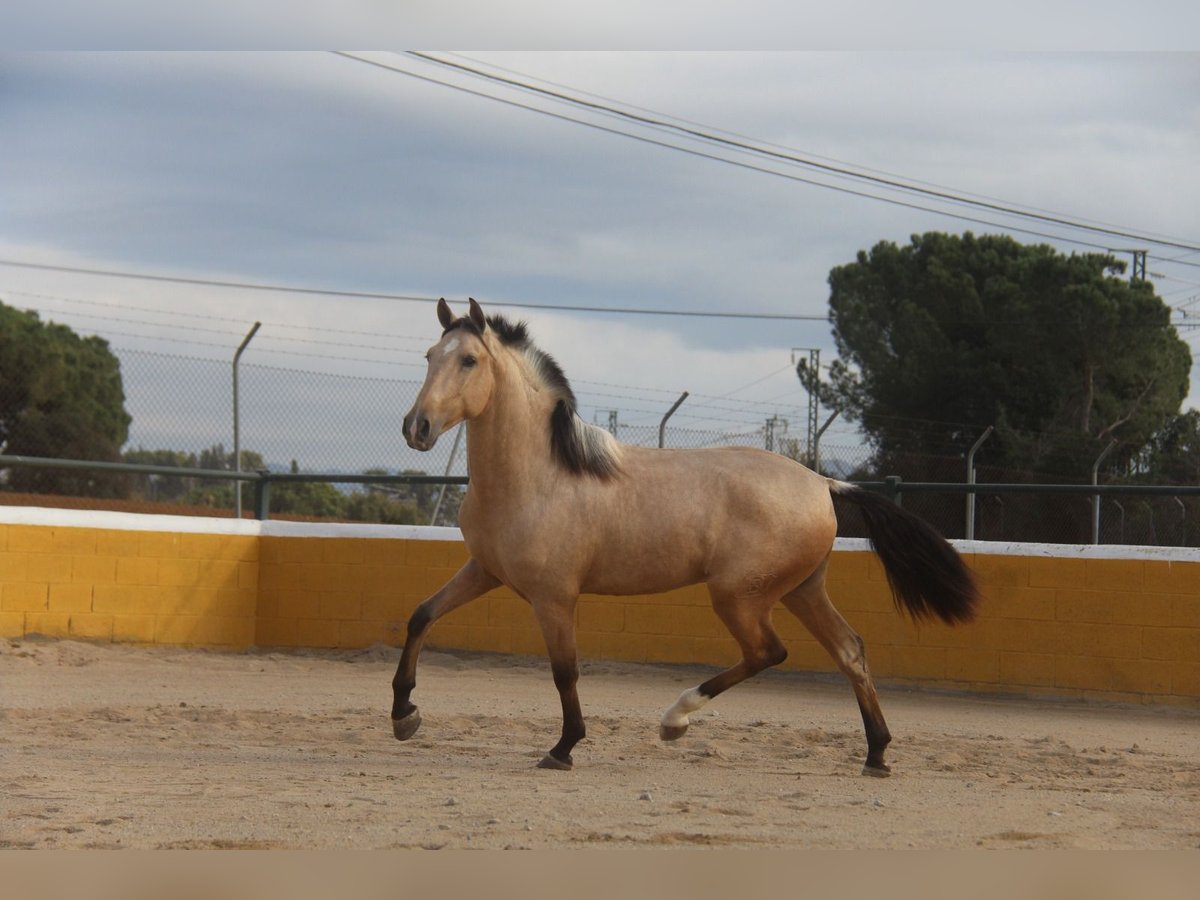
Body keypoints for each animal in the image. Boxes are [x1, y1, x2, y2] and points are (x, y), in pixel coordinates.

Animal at [393, 300, 974, 777]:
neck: (539, 475)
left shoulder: (553, 597)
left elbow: (565, 672)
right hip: (802, 589)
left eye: (469, 360)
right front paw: (404, 715)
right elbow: (421, 615)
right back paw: (876, 754)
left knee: (769, 651)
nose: (416, 428)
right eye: (429, 355)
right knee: (850, 651)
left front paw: (563, 748)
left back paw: (676, 719)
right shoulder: (485, 572)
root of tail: (824, 483)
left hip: (739, 595)